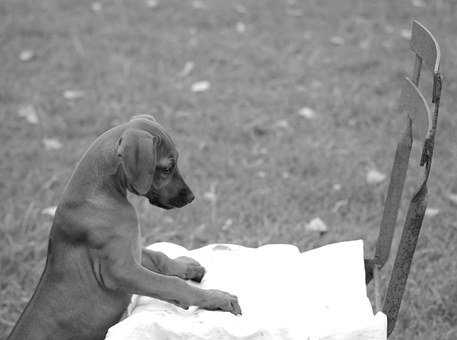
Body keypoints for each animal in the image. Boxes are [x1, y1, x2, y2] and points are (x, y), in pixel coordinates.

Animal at [8, 115, 242, 338]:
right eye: (167, 168)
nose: (191, 197)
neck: (100, 195)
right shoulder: (120, 270)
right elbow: (171, 284)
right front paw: (216, 297)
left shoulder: (132, 251)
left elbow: (159, 257)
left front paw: (185, 267)